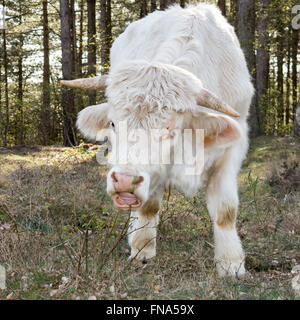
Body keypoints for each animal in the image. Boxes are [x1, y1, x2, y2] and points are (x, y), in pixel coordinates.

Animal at [61, 3, 253, 278]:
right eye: (113, 123)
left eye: (169, 126)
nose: (124, 181)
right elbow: (148, 206)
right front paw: (142, 248)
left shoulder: (231, 151)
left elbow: (226, 211)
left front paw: (231, 263)